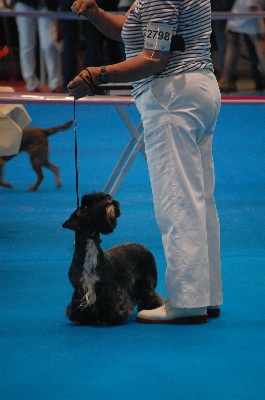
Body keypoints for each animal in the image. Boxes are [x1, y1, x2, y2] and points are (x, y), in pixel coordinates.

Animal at [62, 191, 161, 324]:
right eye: (86, 207)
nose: (110, 200)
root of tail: (144, 247)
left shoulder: (107, 288)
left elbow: (109, 304)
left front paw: (108, 319)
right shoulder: (80, 288)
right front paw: (82, 318)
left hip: (147, 282)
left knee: (152, 296)